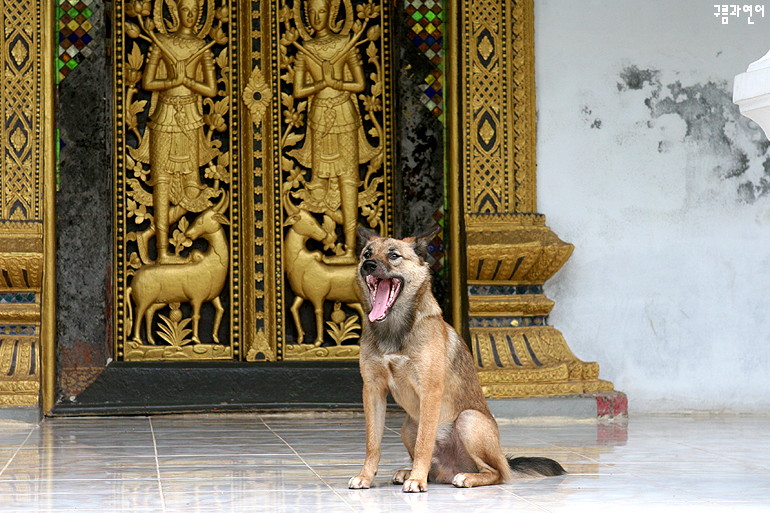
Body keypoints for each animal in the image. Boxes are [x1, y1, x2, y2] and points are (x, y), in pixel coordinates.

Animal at [348, 228, 564, 492]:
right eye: (366, 254)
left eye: (394, 255)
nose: (368, 265)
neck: (394, 329)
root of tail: (450, 469)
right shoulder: (372, 391)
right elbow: (372, 443)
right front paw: (366, 476)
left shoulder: (430, 391)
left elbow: (424, 443)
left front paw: (416, 480)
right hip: (408, 427)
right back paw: (410, 472)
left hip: (468, 420)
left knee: (496, 473)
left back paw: (464, 477)